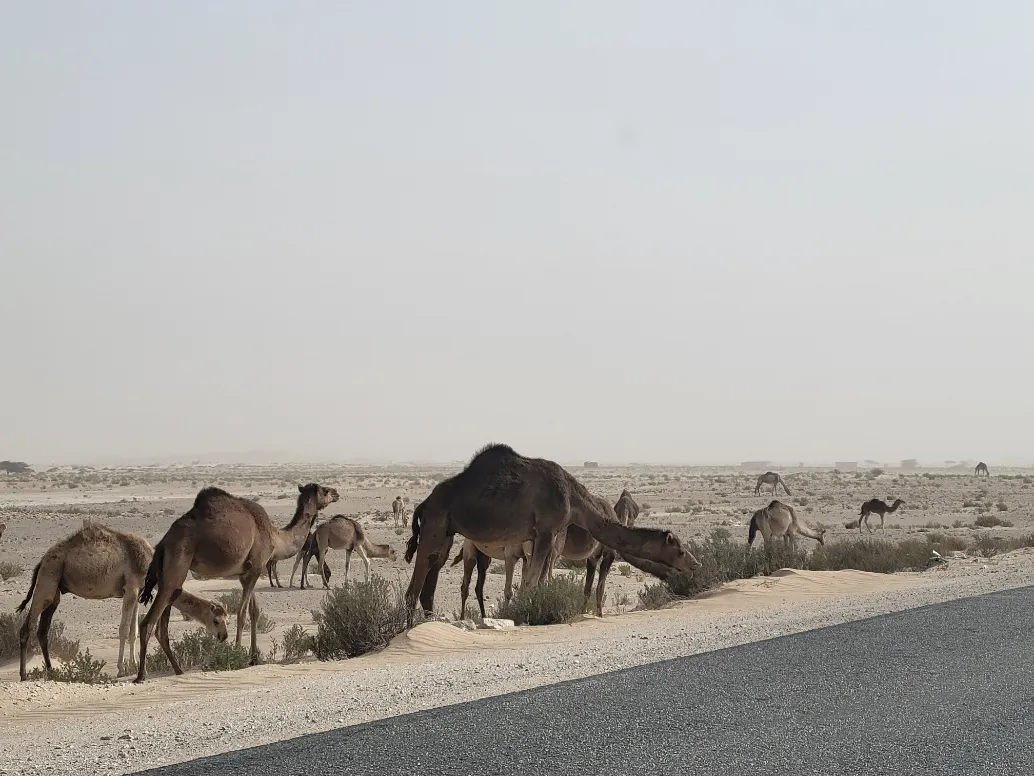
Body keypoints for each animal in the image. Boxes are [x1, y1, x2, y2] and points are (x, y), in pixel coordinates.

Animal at [15, 523, 228, 678]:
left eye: (226, 619)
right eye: (217, 620)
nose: (224, 636)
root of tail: (42, 560)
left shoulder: (139, 590)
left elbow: (134, 631)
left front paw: (135, 666)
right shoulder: (131, 588)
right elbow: (124, 629)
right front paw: (121, 670)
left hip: (56, 589)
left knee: (43, 631)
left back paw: (51, 672)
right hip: (48, 578)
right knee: (28, 627)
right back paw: (24, 675)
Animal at [134, 484, 339, 682]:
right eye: (324, 490)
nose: (336, 493)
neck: (275, 536)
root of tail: (162, 543)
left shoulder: (247, 572)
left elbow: (254, 612)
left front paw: (254, 658)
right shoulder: (255, 568)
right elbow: (241, 613)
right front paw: (237, 655)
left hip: (168, 575)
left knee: (162, 627)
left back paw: (178, 670)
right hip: (177, 565)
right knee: (148, 623)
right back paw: (140, 675)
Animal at [403, 446, 703, 624]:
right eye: (679, 550)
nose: (695, 564)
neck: (575, 499)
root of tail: (424, 503)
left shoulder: (542, 537)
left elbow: (534, 582)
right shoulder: (547, 531)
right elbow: (530, 584)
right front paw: (525, 617)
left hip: (447, 532)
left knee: (432, 573)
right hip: (435, 524)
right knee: (415, 584)